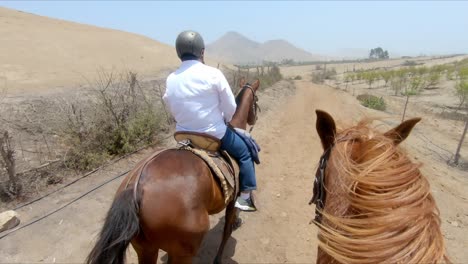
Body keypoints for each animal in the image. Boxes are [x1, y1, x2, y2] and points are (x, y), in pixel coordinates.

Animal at [86, 77, 262, 262]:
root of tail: (136, 187)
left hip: (145, 249)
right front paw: (219, 256)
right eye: (256, 101)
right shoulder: (233, 200)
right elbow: (226, 232)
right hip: (183, 251)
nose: (254, 119)